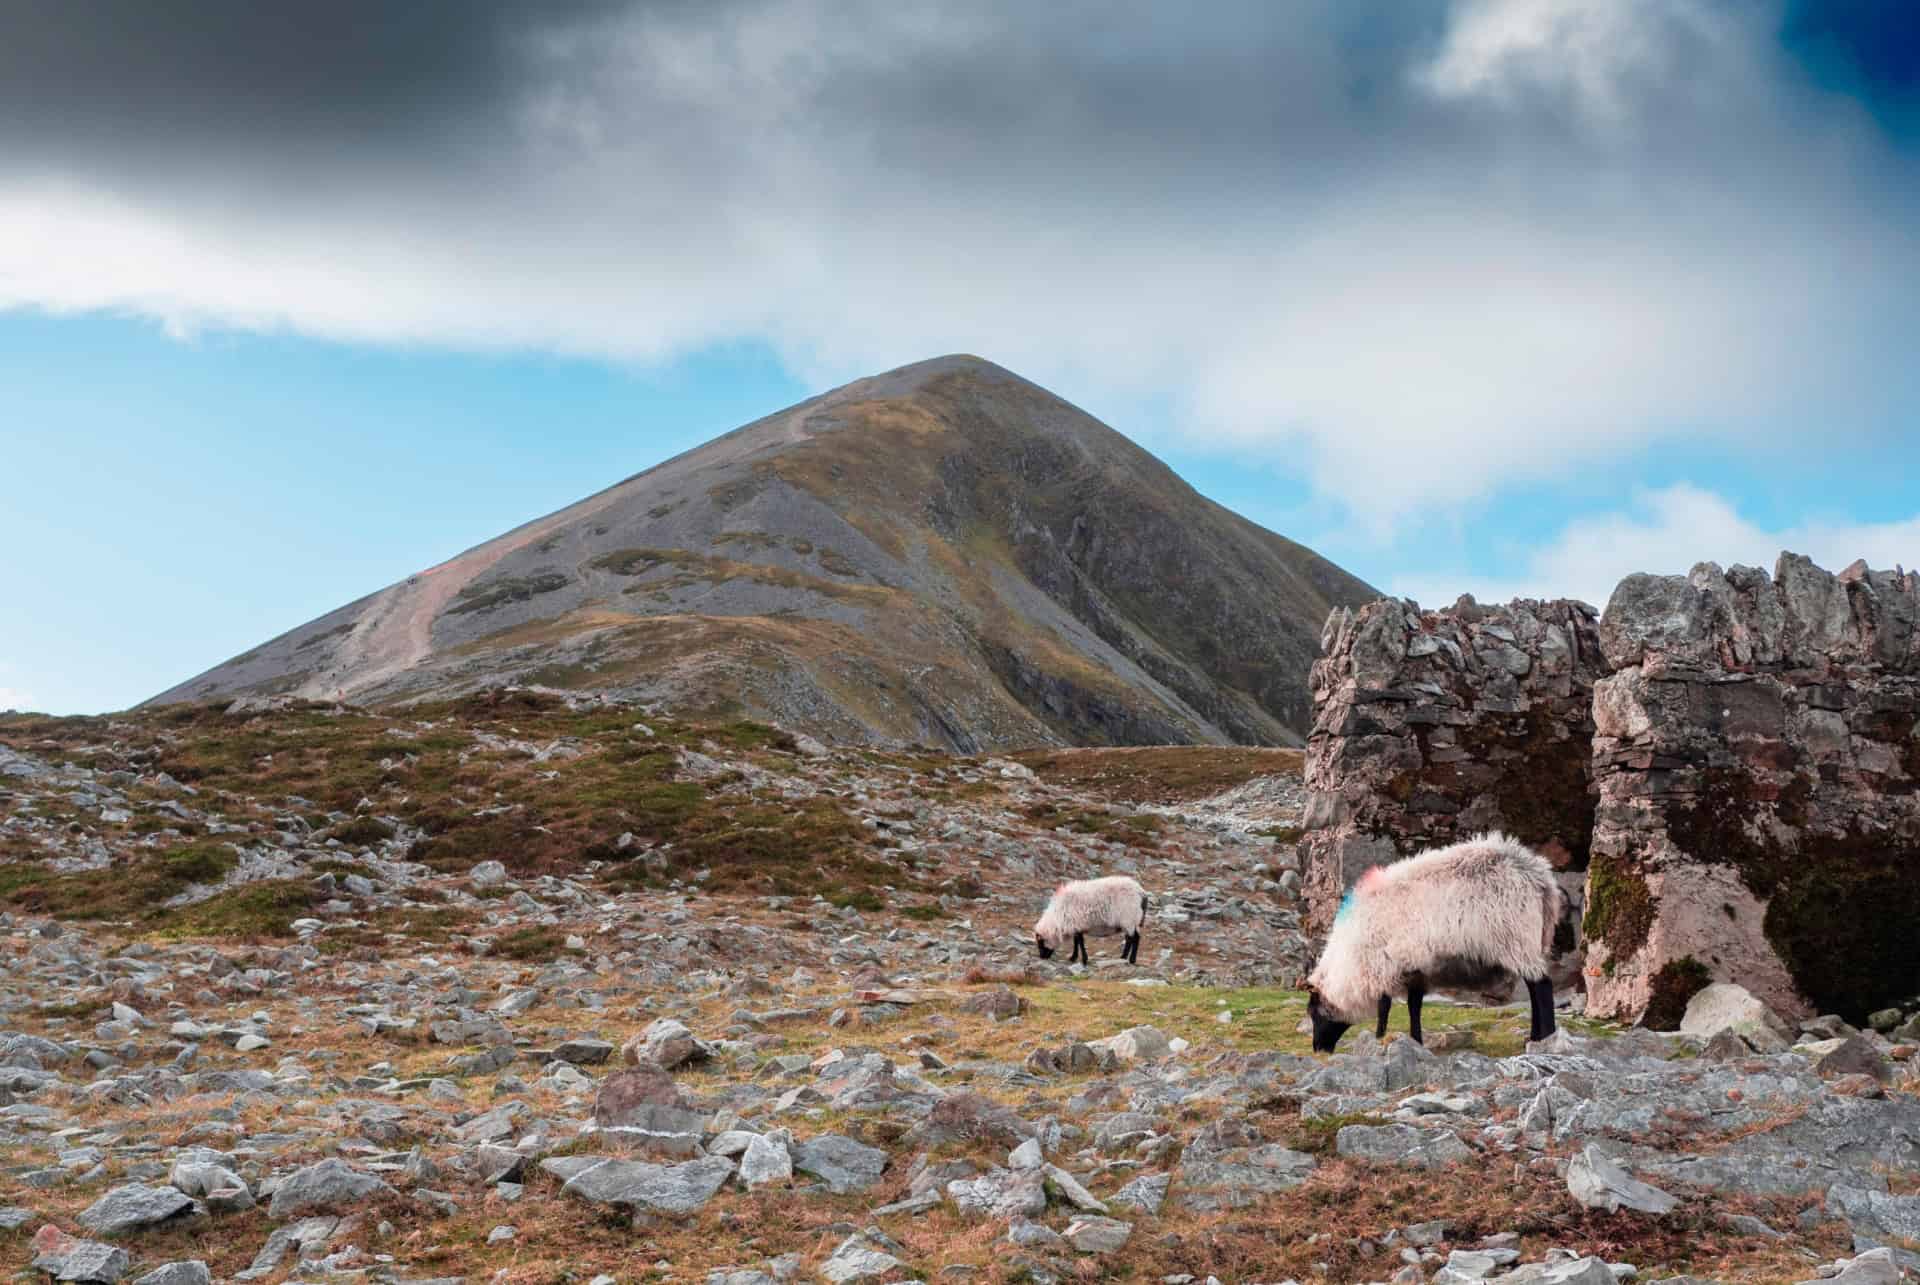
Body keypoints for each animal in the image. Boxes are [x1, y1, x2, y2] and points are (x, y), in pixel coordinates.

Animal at [1305, 833, 1559, 1052]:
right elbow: (1414, 1006)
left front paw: (1379, 1038)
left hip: (1517, 940)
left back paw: (1545, 1037)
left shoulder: (1381, 967)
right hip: (1530, 942)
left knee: (1541, 986)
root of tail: (1539, 877)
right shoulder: (1415, 969)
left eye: (1313, 1012)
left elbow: (1384, 1007)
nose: (1318, 1049)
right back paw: (1535, 1036)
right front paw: (1416, 1040)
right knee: (1535, 988)